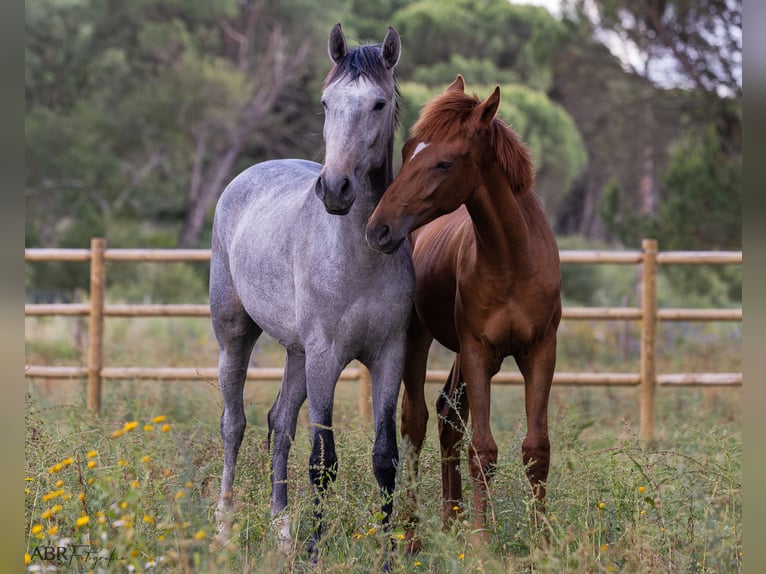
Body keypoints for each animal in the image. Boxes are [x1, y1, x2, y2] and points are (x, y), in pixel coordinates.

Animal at [208, 23, 414, 564]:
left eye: (379, 103)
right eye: (326, 102)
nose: (335, 189)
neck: (357, 256)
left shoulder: (389, 356)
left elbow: (385, 458)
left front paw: (386, 557)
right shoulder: (326, 357)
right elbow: (324, 459)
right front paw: (315, 552)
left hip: (296, 353)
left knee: (279, 424)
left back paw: (281, 530)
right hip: (235, 336)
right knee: (234, 424)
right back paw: (223, 528)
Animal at [368, 76, 560, 548]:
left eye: (444, 163)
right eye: (407, 150)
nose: (379, 229)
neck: (512, 259)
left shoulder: (541, 352)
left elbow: (536, 448)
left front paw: (542, 540)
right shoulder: (478, 351)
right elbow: (483, 449)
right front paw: (481, 542)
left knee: (445, 418)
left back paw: (449, 522)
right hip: (418, 338)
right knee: (415, 422)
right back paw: (413, 533)